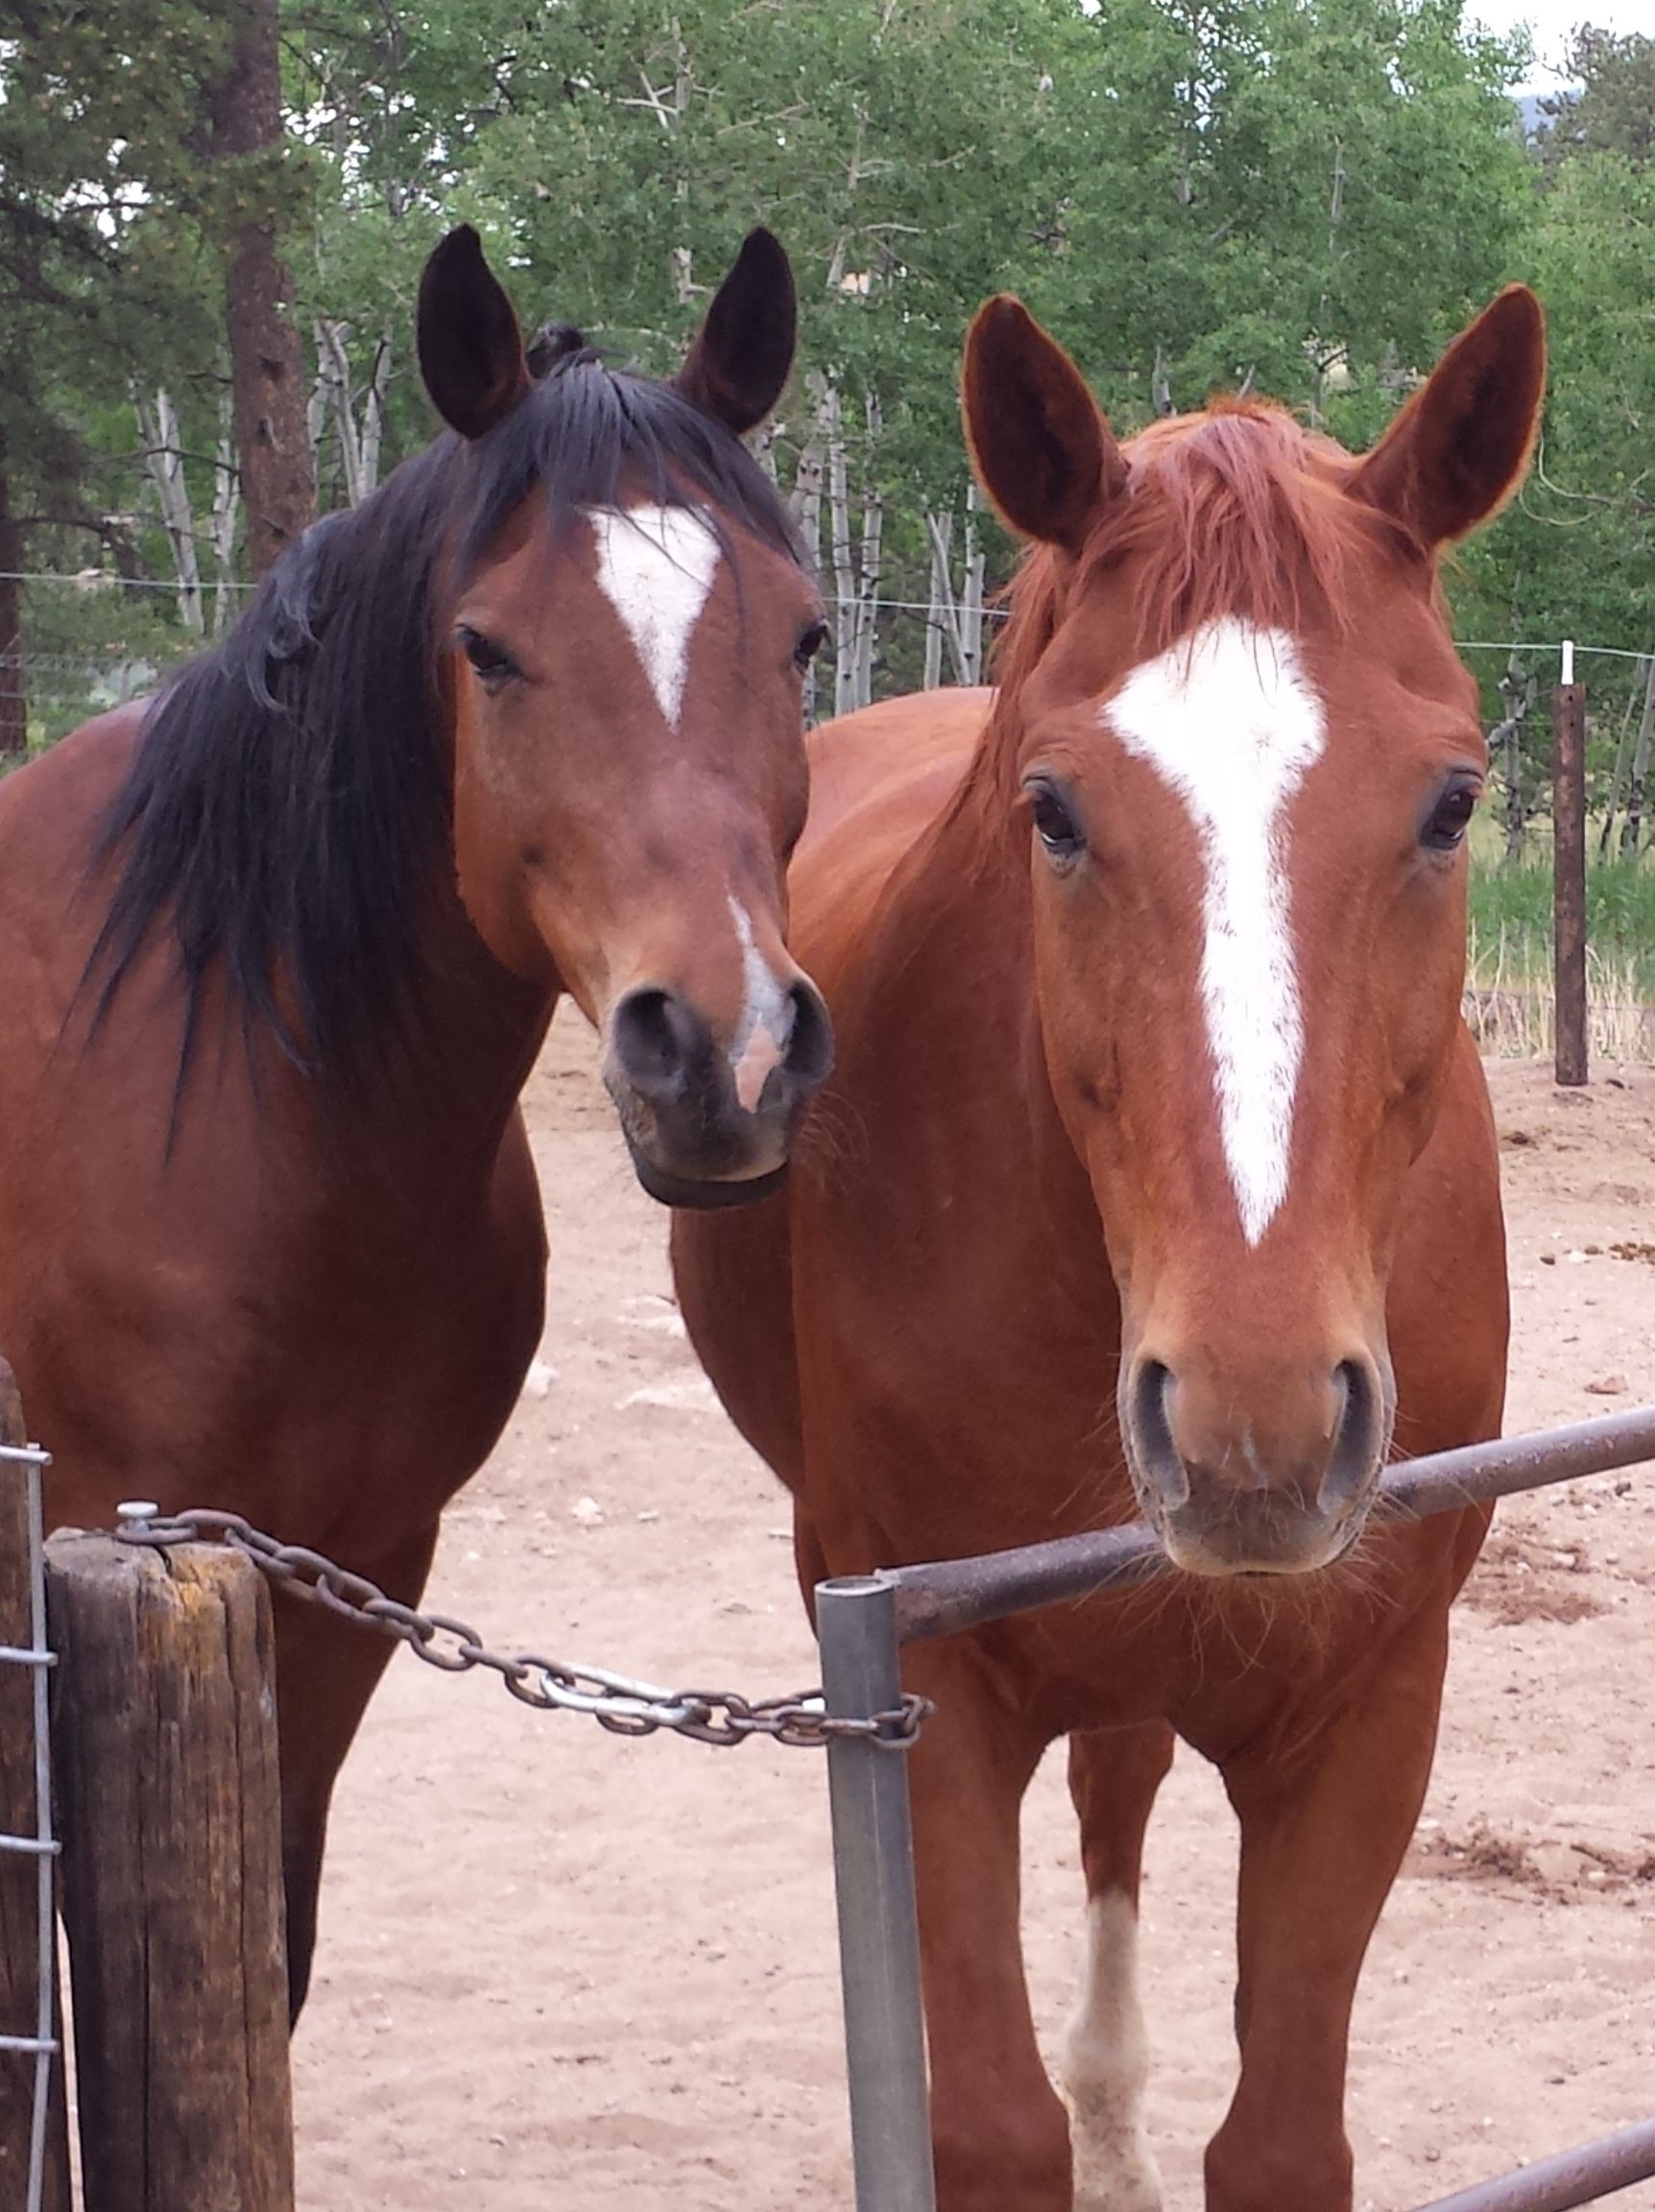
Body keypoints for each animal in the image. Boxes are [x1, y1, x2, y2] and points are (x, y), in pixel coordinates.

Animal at [673, 283, 1544, 2212]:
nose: (1255, 1425)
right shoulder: (921, 1689)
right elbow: (989, 2123)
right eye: (1054, 809)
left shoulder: (1370, 1709)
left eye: (1451, 801)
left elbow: (1281, 2137)